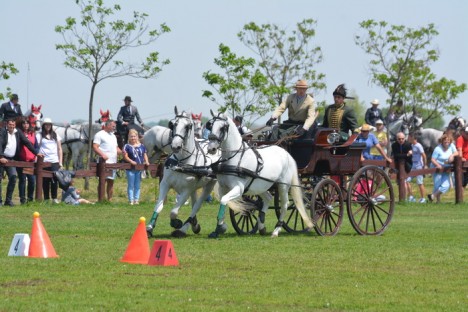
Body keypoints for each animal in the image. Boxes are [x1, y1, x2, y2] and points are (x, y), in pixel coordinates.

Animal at [146, 106, 219, 238]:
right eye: (172, 124)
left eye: (188, 126)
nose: (175, 146)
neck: (181, 162)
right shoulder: (165, 184)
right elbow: (158, 206)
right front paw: (149, 228)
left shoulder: (186, 190)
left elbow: (174, 211)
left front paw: (176, 223)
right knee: (194, 203)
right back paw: (194, 224)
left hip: (209, 185)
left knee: (197, 205)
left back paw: (184, 228)